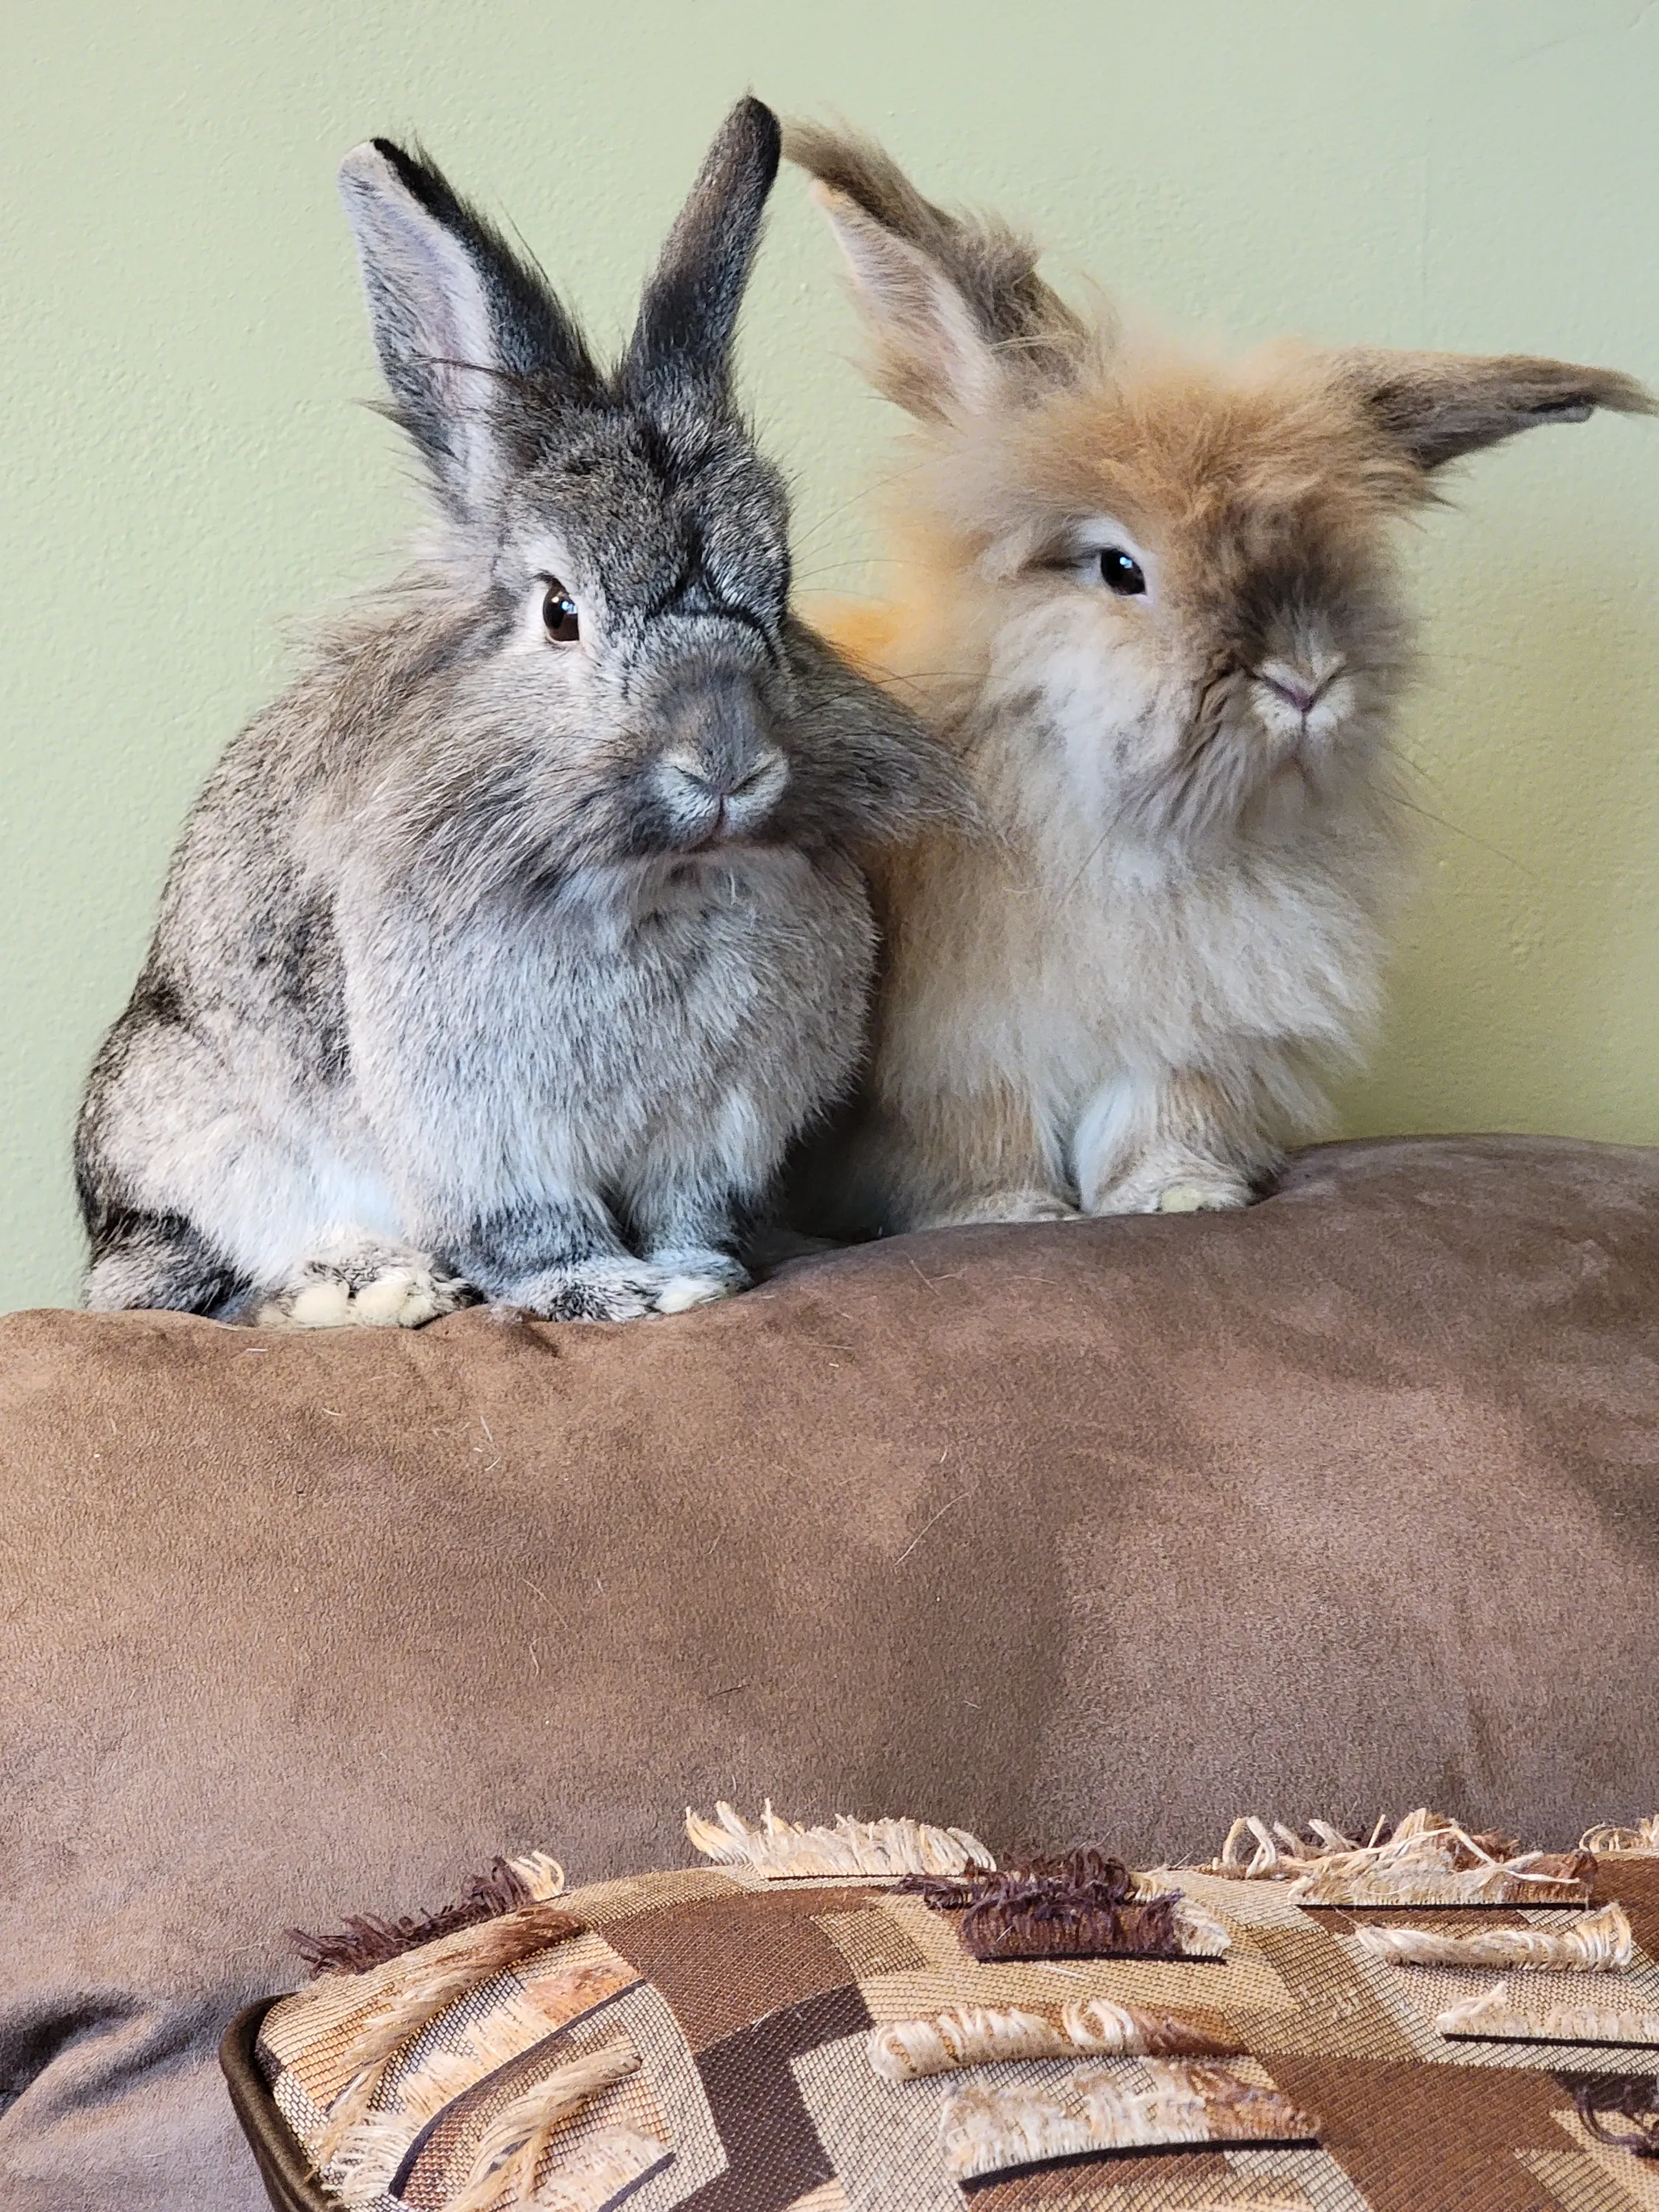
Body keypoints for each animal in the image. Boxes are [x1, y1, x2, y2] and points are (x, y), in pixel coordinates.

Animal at [75, 100, 961, 1327]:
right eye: (559, 612)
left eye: (779, 594)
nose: (727, 763)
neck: (654, 876)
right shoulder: (486, 1130)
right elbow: (533, 1231)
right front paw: (616, 1294)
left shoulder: (712, 1132)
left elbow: (688, 1209)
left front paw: (699, 1272)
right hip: (193, 1135)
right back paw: (368, 1290)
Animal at [783, 121, 1653, 1235]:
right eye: (1119, 569)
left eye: (1339, 559)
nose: (1305, 680)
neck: (1128, 835)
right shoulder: (963, 1053)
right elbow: (980, 1133)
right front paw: (1007, 1217)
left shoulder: (1190, 1032)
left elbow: (1161, 1112)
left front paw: (1178, 1198)